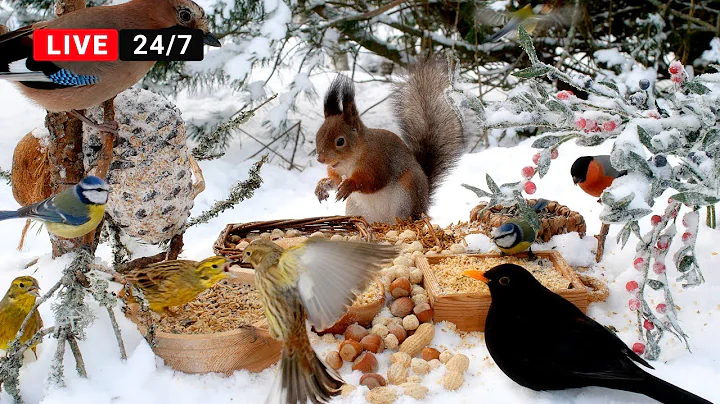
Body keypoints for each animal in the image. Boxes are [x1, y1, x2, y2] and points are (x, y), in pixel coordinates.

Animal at [314, 58, 465, 224]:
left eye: (340, 141)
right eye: (318, 135)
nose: (321, 159)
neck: (348, 161)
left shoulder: (377, 162)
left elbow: (372, 181)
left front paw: (349, 184)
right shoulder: (337, 171)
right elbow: (334, 181)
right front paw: (322, 185)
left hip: (406, 193)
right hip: (356, 208)